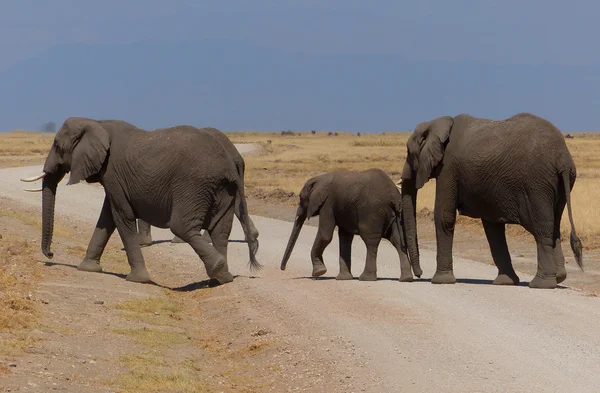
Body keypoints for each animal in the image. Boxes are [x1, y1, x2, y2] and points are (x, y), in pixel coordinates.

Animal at [20, 116, 260, 284]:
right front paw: (87, 268)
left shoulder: (113, 171)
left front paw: (138, 279)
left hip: (193, 186)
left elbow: (121, 216)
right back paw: (221, 279)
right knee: (220, 231)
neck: (96, 122)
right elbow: (107, 218)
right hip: (223, 189)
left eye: (58, 147)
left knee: (182, 226)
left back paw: (217, 268)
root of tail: (229, 165)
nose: (50, 254)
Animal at [280, 167, 422, 280]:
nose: (282, 268)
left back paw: (366, 278)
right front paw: (343, 278)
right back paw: (406, 279)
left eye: (301, 199)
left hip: (372, 212)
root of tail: (393, 194)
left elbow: (326, 235)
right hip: (395, 214)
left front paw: (319, 272)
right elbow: (345, 237)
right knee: (397, 240)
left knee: (371, 241)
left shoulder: (328, 204)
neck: (320, 178)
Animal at [400, 112, 584, 290]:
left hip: (537, 185)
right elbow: (493, 226)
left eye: (409, 153)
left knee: (542, 229)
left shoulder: (448, 168)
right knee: (555, 228)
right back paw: (559, 278)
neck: (439, 124)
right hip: (559, 185)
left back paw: (541, 284)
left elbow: (444, 217)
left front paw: (440, 281)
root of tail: (562, 158)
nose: (418, 275)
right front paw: (505, 282)